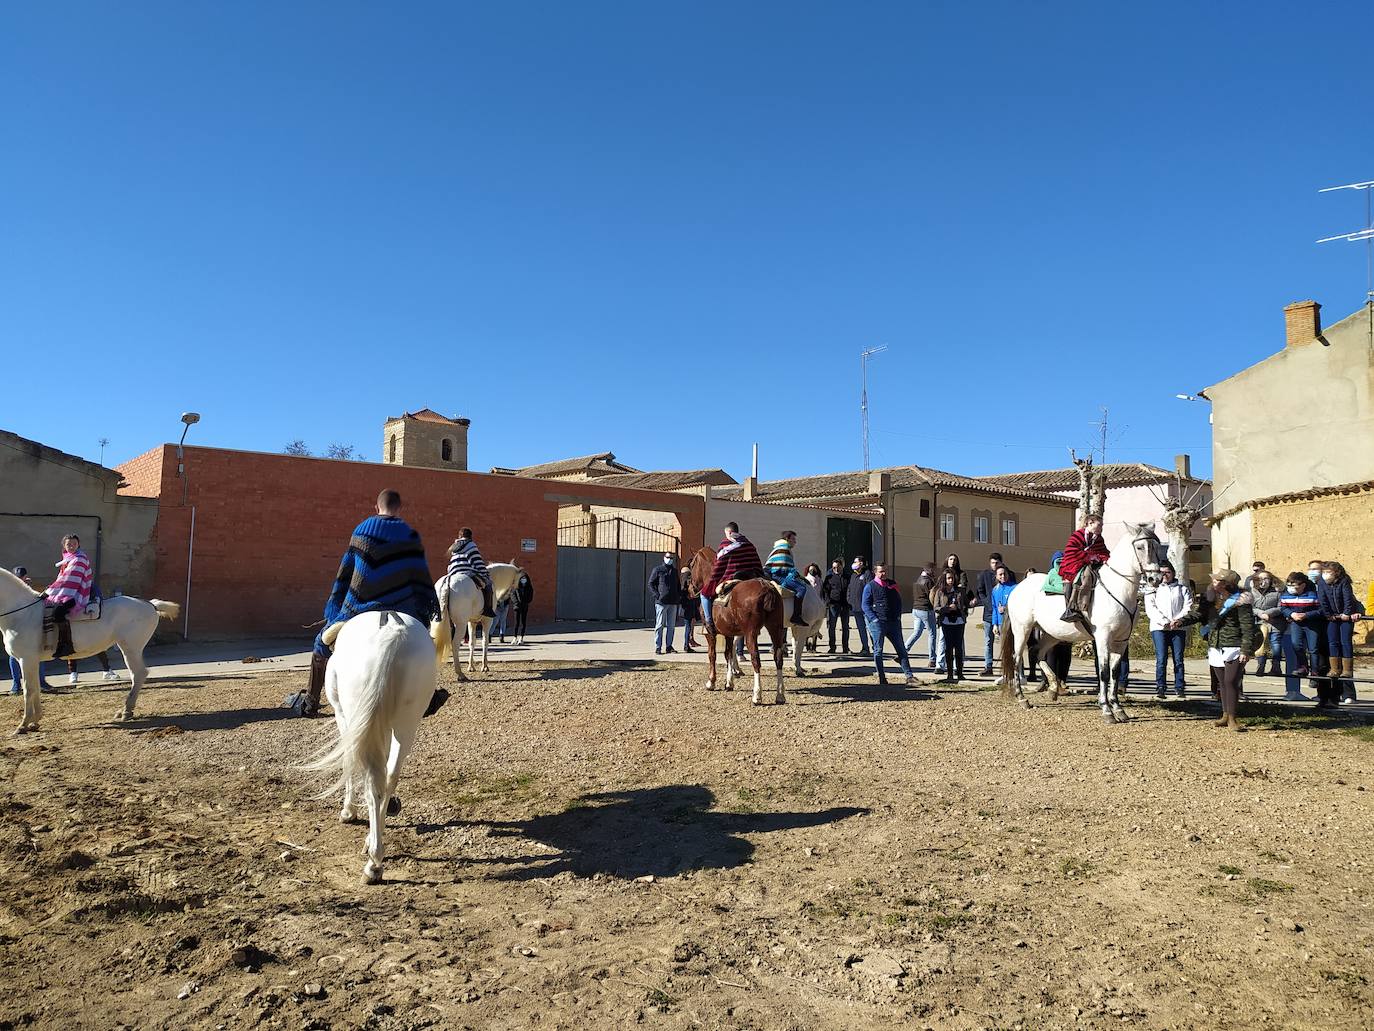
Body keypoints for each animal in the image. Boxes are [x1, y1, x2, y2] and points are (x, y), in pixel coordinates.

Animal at [0, 566, 181, 736]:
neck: (22, 614)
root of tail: (150, 605)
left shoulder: (26, 660)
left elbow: (28, 690)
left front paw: (23, 725)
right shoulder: (32, 661)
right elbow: (36, 688)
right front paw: (35, 721)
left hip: (131, 649)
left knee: (138, 674)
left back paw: (126, 710)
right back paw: (125, 710)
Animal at [302, 613, 431, 890]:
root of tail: (392, 634)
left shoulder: (345, 719)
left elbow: (349, 764)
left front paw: (348, 811)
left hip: (357, 717)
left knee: (373, 781)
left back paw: (373, 864)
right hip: (406, 723)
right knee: (389, 776)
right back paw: (375, 846)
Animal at [684, 544, 785, 709]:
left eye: (692, 565)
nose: (690, 590)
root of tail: (766, 588)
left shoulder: (710, 633)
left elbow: (712, 655)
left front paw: (711, 682)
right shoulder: (729, 633)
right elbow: (728, 654)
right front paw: (728, 683)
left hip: (751, 633)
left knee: (755, 659)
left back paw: (757, 696)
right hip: (775, 628)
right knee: (778, 657)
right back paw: (780, 695)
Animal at [994, 519, 1165, 720]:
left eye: (1157, 546)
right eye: (1139, 547)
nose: (1155, 578)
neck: (1119, 590)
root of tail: (1017, 587)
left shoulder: (1122, 640)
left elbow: (1114, 672)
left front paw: (1118, 708)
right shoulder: (1103, 637)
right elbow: (1104, 673)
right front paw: (1106, 709)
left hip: (1052, 634)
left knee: (1037, 653)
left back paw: (1053, 687)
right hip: (1022, 629)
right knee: (1017, 658)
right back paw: (1022, 698)